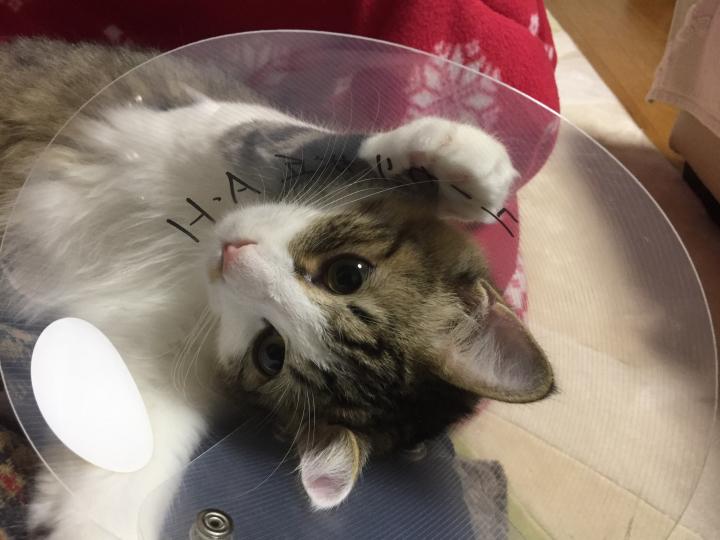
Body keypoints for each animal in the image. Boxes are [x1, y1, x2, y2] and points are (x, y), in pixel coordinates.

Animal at [0, 38, 553, 539]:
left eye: (272, 352)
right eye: (346, 274)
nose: (232, 255)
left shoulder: (161, 364)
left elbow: (130, 448)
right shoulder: (230, 126)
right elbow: (325, 141)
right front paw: (466, 166)